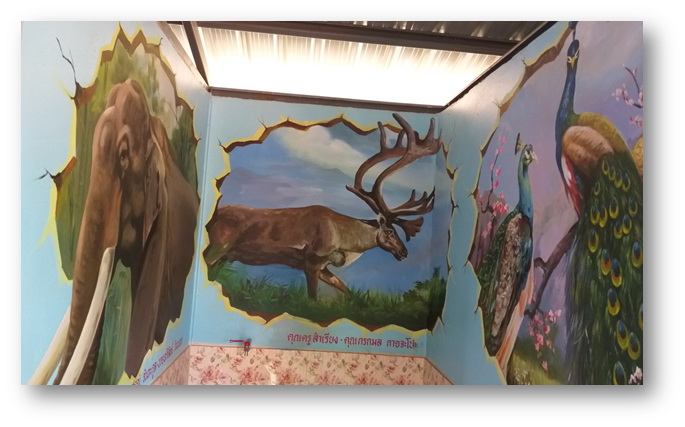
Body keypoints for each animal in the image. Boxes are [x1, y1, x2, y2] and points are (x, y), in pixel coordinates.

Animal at [203, 113, 442, 298]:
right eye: (391, 231)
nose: (404, 252)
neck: (344, 241)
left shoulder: (324, 267)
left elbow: (347, 290)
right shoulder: (312, 260)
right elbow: (312, 298)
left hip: (226, 255)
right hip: (218, 246)